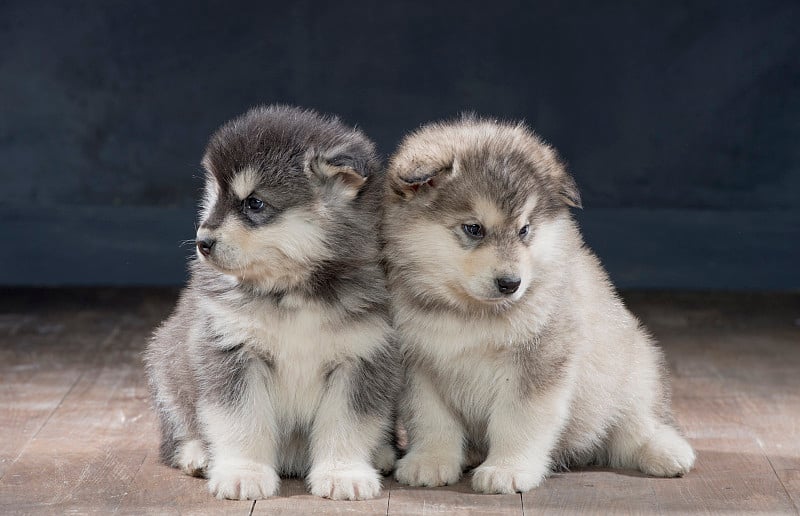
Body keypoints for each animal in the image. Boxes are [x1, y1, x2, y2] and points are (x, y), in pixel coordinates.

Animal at [144, 106, 400, 500]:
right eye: (214, 196)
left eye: (254, 202)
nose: (202, 242)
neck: (294, 291)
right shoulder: (232, 352)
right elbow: (242, 422)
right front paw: (243, 473)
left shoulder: (362, 358)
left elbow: (347, 425)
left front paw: (343, 474)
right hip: (166, 365)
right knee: (179, 429)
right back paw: (197, 453)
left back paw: (383, 453)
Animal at [382, 118, 692, 496]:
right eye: (474, 228)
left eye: (524, 229)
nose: (510, 283)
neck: (469, 313)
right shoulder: (418, 366)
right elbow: (431, 420)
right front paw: (429, 461)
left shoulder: (538, 360)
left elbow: (518, 420)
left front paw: (507, 469)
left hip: (631, 373)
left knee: (635, 425)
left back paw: (666, 450)